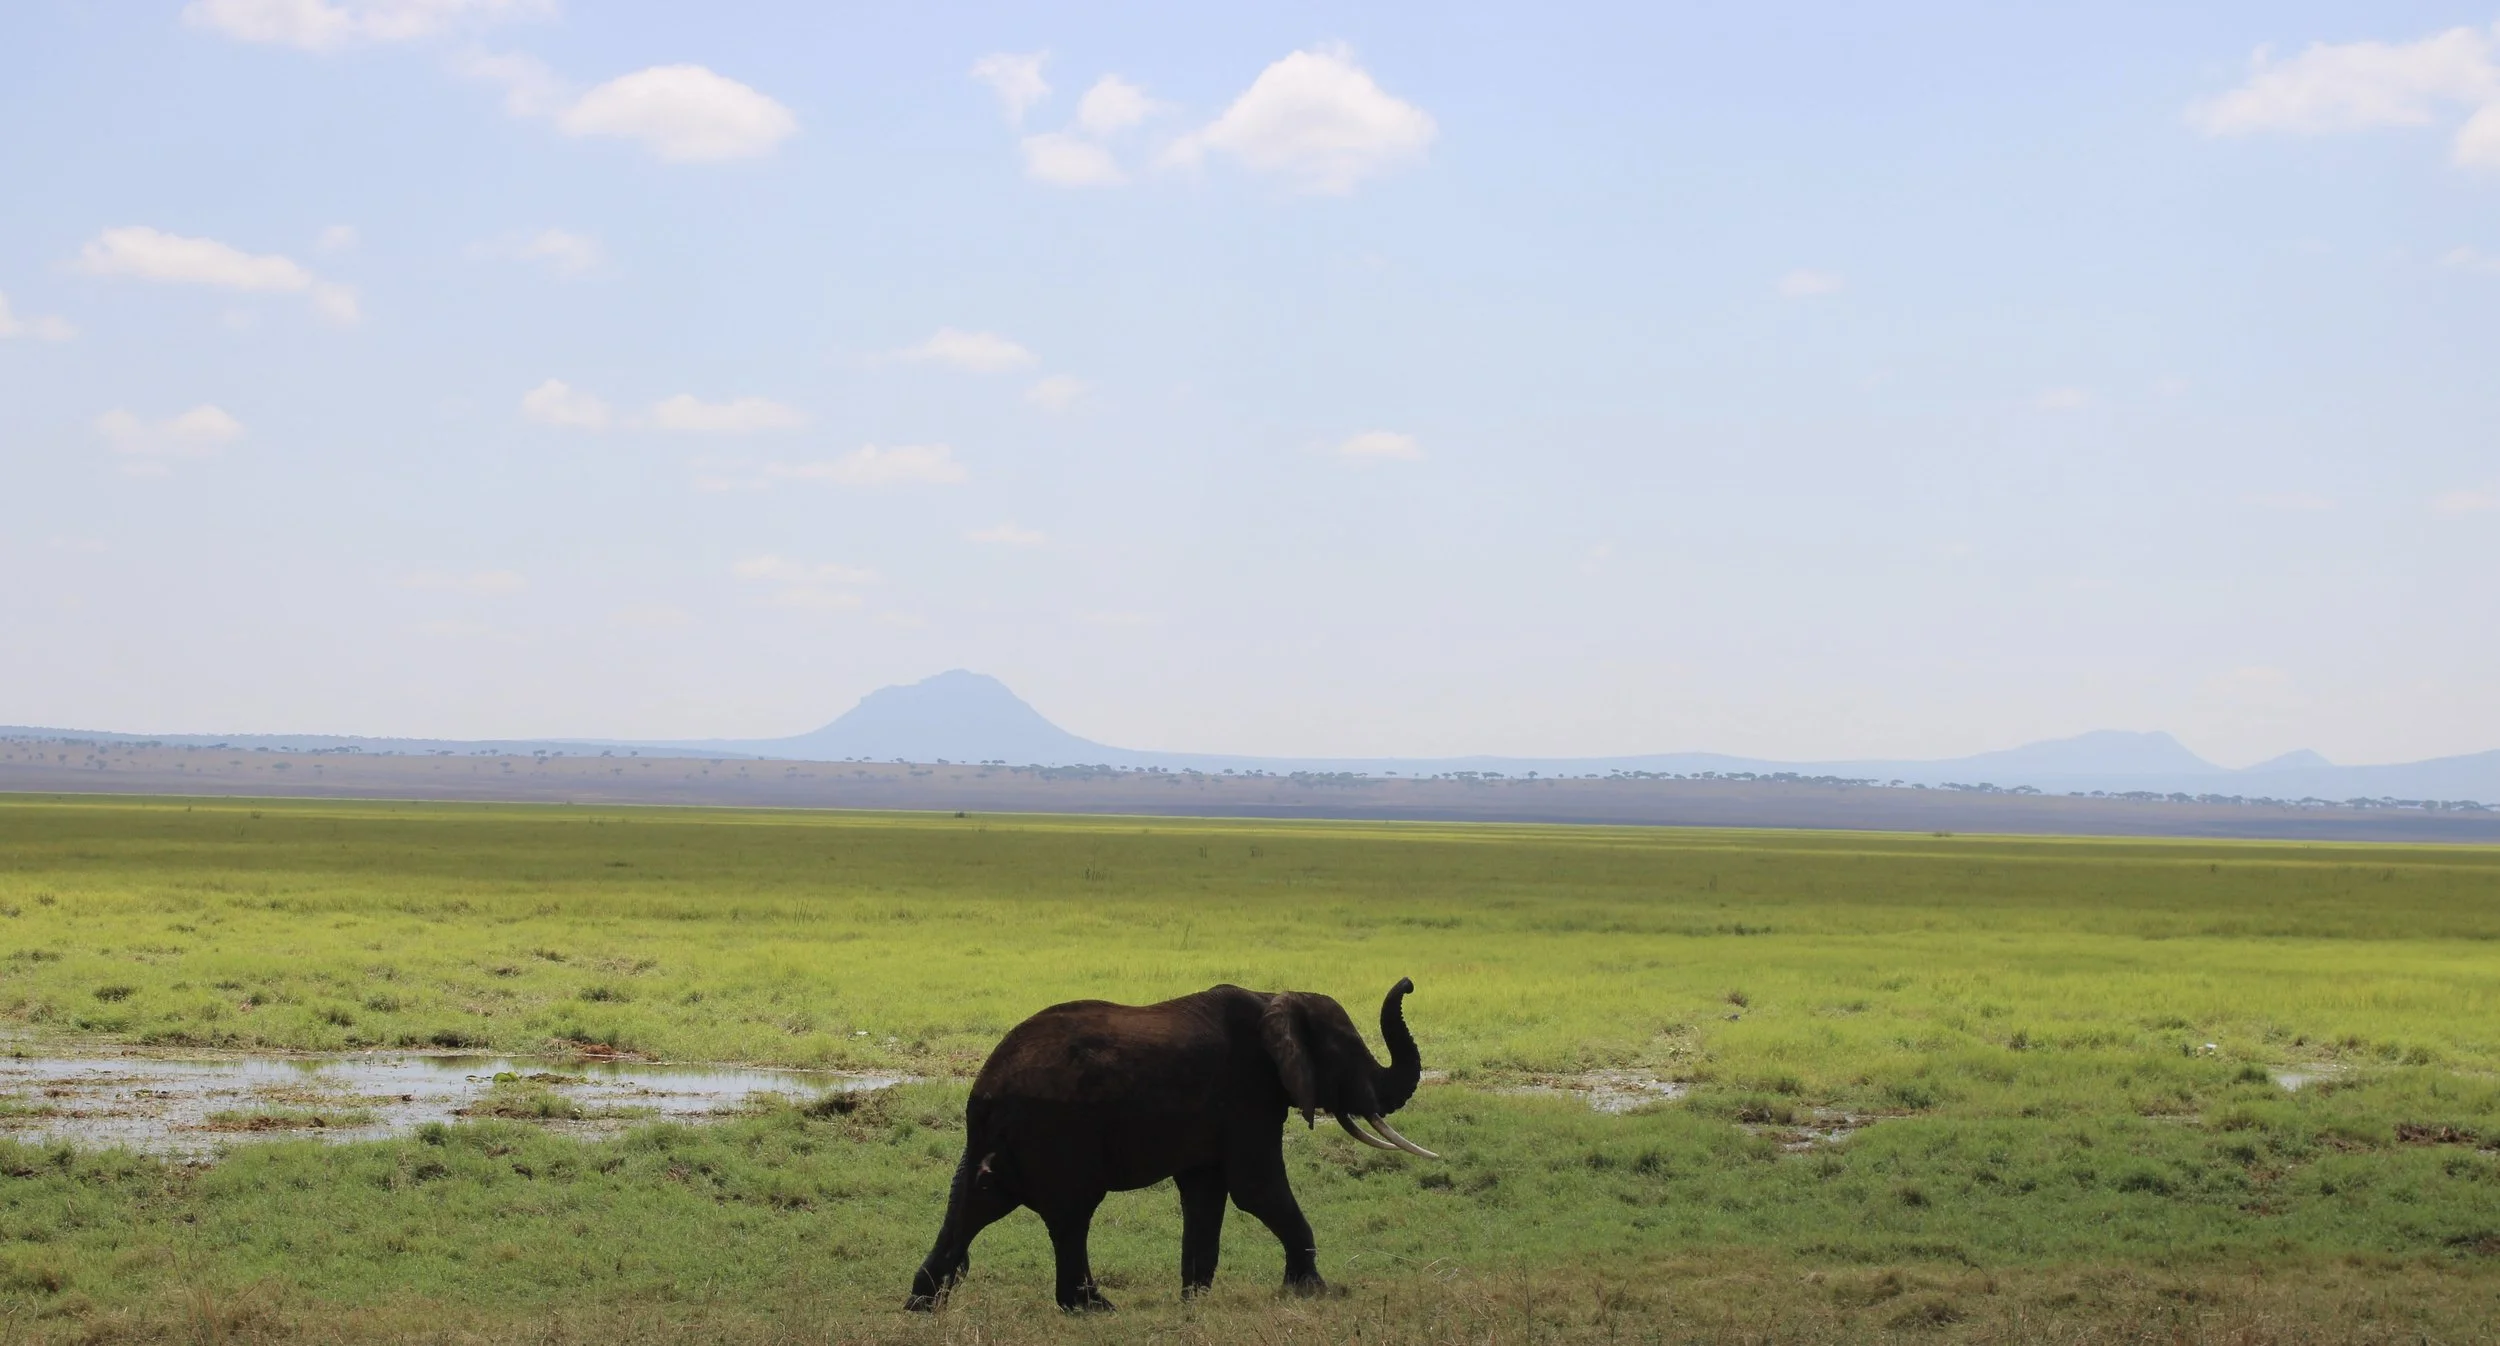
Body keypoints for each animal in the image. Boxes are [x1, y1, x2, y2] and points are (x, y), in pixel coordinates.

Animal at [906, 977, 1435, 1312]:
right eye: (1349, 1055)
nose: (1409, 982)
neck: (1274, 998)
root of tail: (985, 1086)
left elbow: (1206, 1193)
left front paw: (1194, 1301)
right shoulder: (1248, 1094)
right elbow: (1256, 1188)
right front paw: (1315, 1293)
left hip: (1008, 1139)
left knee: (976, 1202)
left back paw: (922, 1305)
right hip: (1057, 1129)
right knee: (1071, 1215)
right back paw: (1094, 1308)